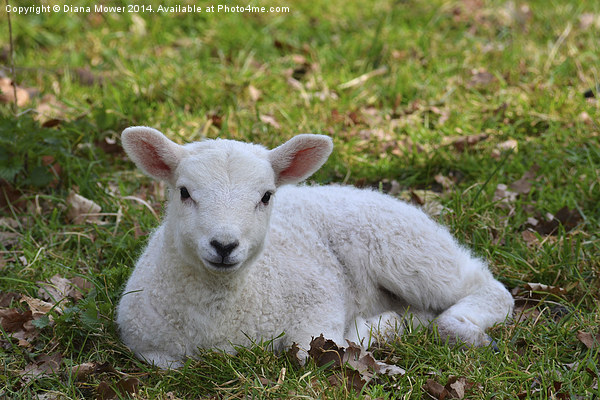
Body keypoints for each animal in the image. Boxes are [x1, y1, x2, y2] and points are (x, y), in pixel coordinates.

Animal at [117, 126, 516, 368]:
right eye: (184, 192)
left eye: (266, 196)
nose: (224, 245)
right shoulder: (146, 346)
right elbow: (167, 364)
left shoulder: (317, 306)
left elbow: (316, 352)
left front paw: (375, 333)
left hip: (407, 250)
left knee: (487, 290)